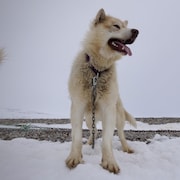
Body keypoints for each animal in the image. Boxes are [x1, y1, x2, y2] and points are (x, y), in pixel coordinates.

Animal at [65, 8, 139, 174]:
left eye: (126, 26)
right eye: (116, 26)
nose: (136, 31)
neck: (97, 71)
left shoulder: (108, 109)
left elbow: (107, 140)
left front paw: (109, 162)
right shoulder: (77, 107)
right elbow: (76, 136)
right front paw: (75, 157)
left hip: (118, 116)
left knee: (121, 134)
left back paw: (126, 148)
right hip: (88, 118)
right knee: (95, 130)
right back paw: (90, 142)